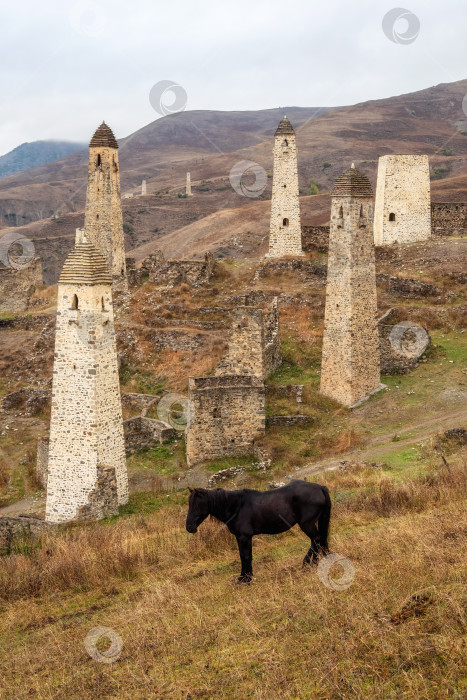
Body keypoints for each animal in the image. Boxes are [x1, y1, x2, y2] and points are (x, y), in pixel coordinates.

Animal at [186, 478, 332, 584]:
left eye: (198, 505)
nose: (189, 527)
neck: (236, 506)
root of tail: (320, 487)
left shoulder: (244, 536)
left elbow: (245, 556)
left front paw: (244, 579)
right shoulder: (241, 537)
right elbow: (245, 556)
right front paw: (247, 577)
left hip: (307, 524)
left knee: (316, 539)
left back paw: (308, 563)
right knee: (317, 540)